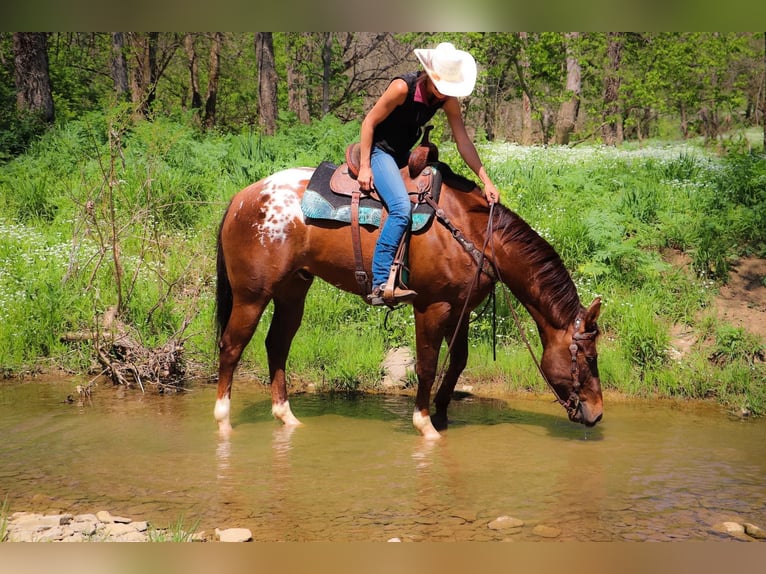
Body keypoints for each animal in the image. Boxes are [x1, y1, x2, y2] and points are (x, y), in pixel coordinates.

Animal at [213, 162, 604, 440]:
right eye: (588, 358)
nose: (597, 413)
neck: (474, 234)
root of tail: (242, 198)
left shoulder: (460, 308)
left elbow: (458, 360)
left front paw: (442, 414)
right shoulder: (431, 306)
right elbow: (428, 365)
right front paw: (425, 424)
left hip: (293, 290)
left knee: (277, 344)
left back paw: (287, 418)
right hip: (252, 295)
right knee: (231, 346)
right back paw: (223, 422)